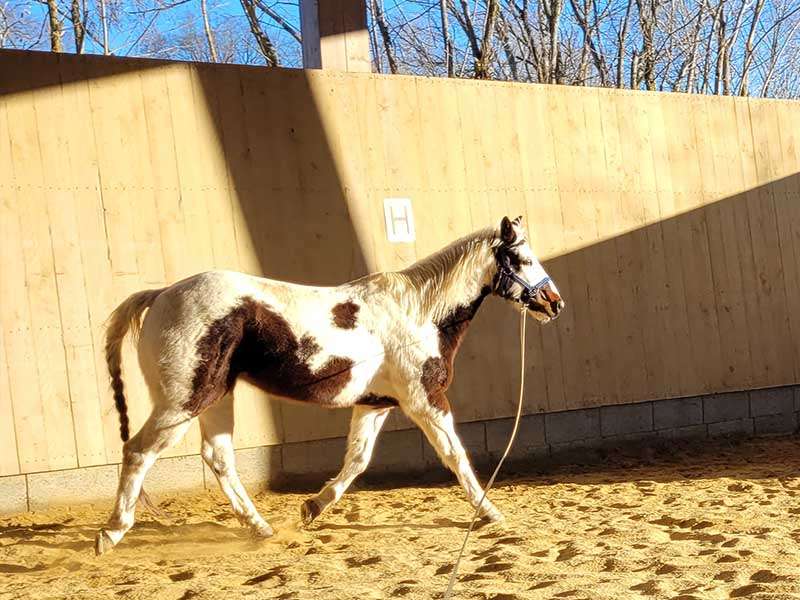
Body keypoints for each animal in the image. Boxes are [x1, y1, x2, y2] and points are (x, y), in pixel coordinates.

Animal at [95, 214, 564, 552]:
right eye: (522, 260)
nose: (553, 303)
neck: (418, 312)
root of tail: (159, 295)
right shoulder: (425, 400)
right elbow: (454, 454)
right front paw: (489, 512)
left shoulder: (375, 404)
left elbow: (357, 461)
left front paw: (312, 507)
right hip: (183, 403)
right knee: (138, 451)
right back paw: (112, 532)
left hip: (215, 398)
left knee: (218, 457)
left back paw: (260, 528)